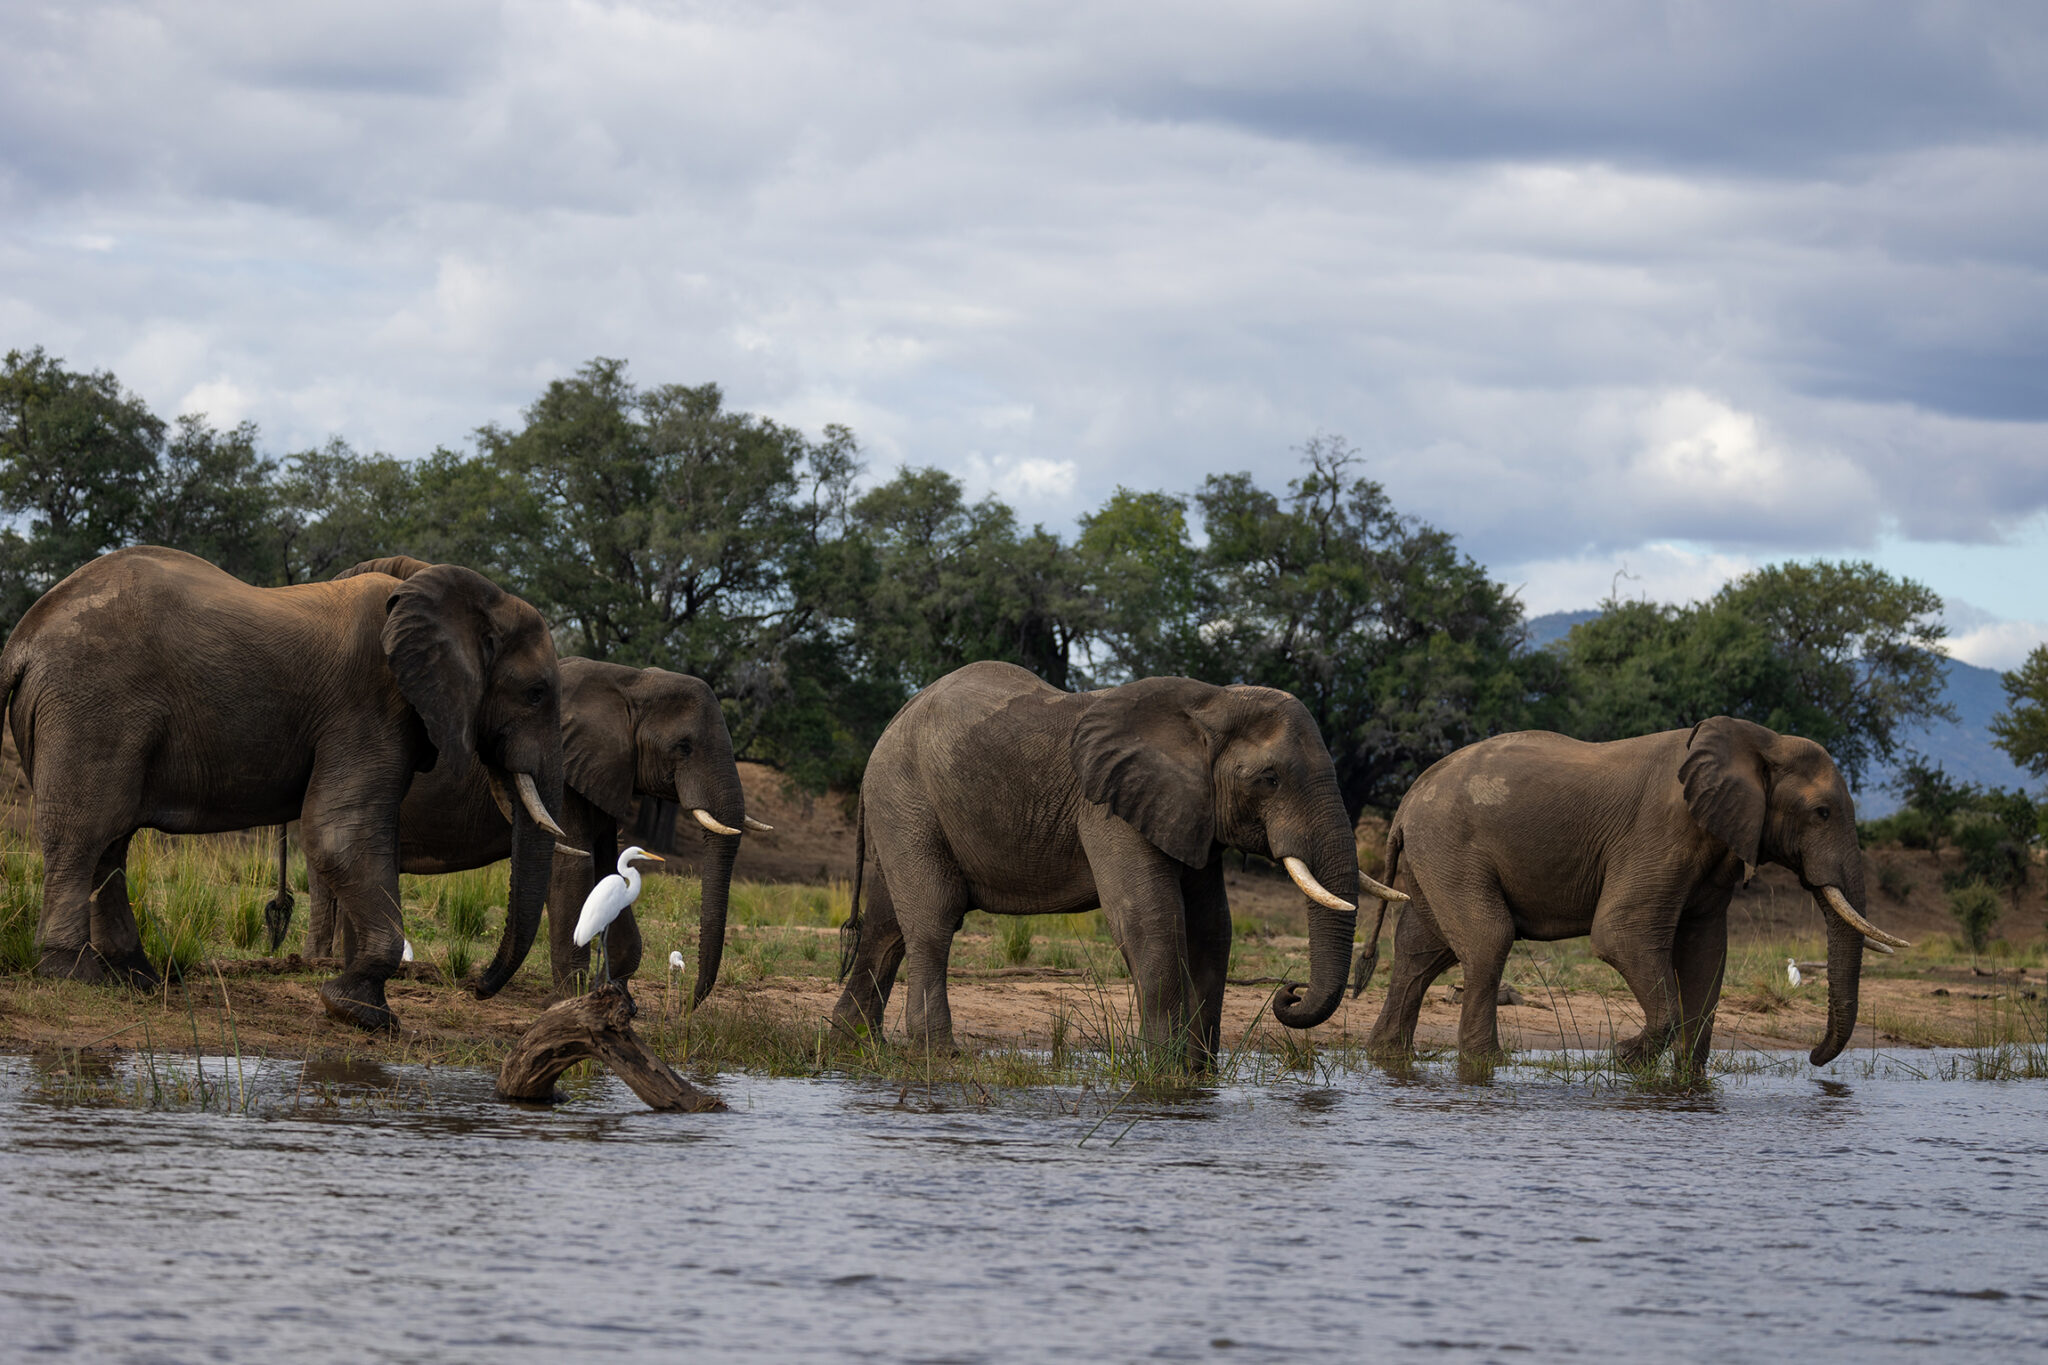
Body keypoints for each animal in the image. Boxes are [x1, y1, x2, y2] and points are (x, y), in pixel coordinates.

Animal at [0, 545, 567, 1030]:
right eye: (537, 693)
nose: (478, 987)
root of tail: (22, 638)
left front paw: (358, 1004)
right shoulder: (370, 701)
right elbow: (338, 833)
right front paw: (363, 1014)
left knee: (111, 841)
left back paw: (135, 977)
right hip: (91, 704)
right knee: (87, 833)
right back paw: (75, 972)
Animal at [832, 661, 1406, 1067]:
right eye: (1269, 779)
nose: (1289, 992)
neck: (1211, 703)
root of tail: (896, 719)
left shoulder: (1188, 808)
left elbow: (1212, 927)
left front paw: (1200, 1074)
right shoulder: (1108, 806)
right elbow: (1150, 919)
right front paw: (1166, 1072)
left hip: (902, 807)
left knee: (887, 926)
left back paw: (851, 1043)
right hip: (905, 796)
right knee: (933, 918)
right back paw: (938, 1055)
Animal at [1362, 716, 1911, 1073]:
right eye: (1822, 813)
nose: (1815, 1058)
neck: (1758, 739)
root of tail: (1408, 800)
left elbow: (1706, 952)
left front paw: (1688, 1079)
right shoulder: (1662, 830)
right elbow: (1621, 934)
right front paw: (1624, 1059)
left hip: (1435, 855)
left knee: (1422, 951)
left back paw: (1388, 1057)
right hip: (1450, 845)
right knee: (1486, 939)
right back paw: (1487, 1065)